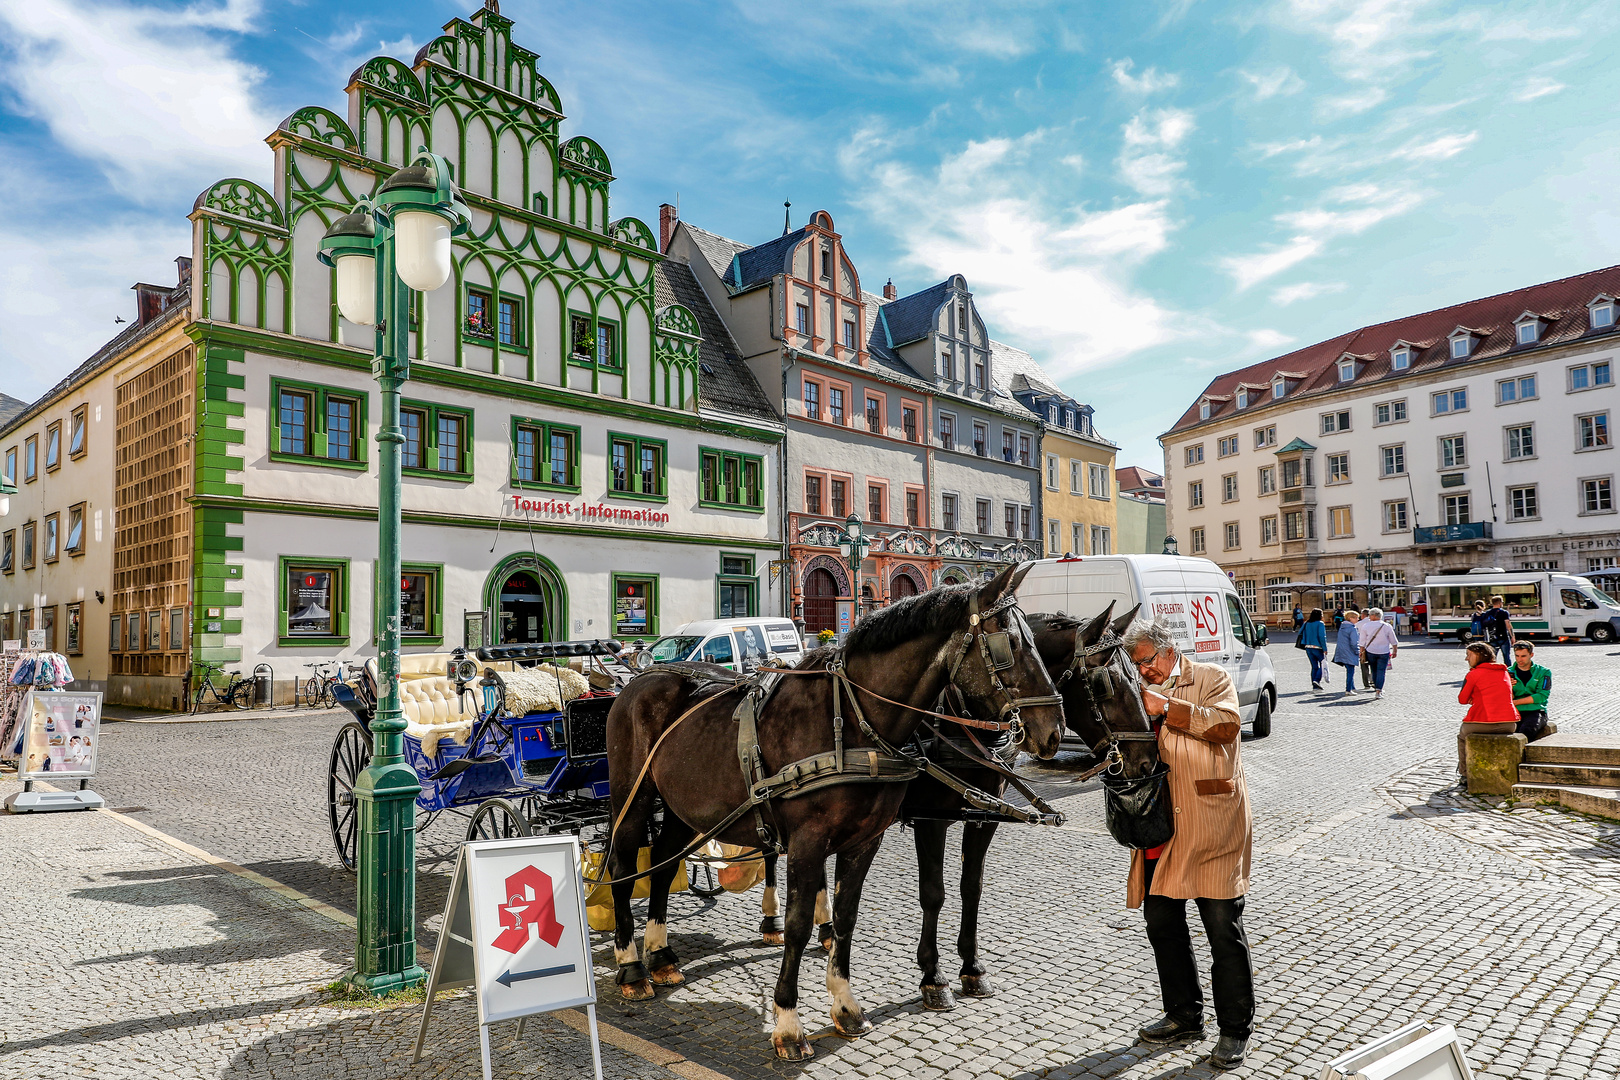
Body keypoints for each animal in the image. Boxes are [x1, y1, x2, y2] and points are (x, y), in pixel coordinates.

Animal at [602, 569, 1069, 1062]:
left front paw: (846, 1005)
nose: (1053, 731)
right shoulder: (820, 840)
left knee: (663, 861)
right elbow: (800, 925)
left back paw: (661, 955)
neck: (851, 719)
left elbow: (848, 916)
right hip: (632, 798)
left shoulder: (869, 839)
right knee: (623, 868)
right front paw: (789, 1023)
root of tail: (645, 673)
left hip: (684, 807)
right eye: (1010, 643)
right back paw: (632, 965)